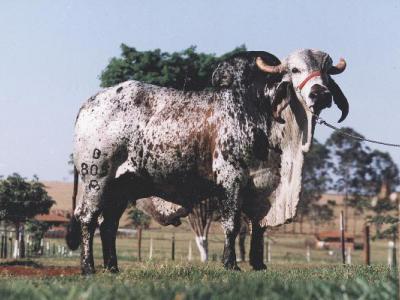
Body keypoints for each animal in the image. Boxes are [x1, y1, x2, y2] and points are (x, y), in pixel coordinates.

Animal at [65, 48, 346, 274]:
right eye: (295, 70)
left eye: (327, 72)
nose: (321, 94)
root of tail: (88, 104)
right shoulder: (231, 178)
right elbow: (232, 224)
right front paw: (230, 263)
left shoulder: (262, 186)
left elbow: (258, 227)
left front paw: (258, 264)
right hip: (97, 178)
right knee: (88, 218)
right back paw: (88, 267)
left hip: (121, 188)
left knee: (108, 225)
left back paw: (112, 267)